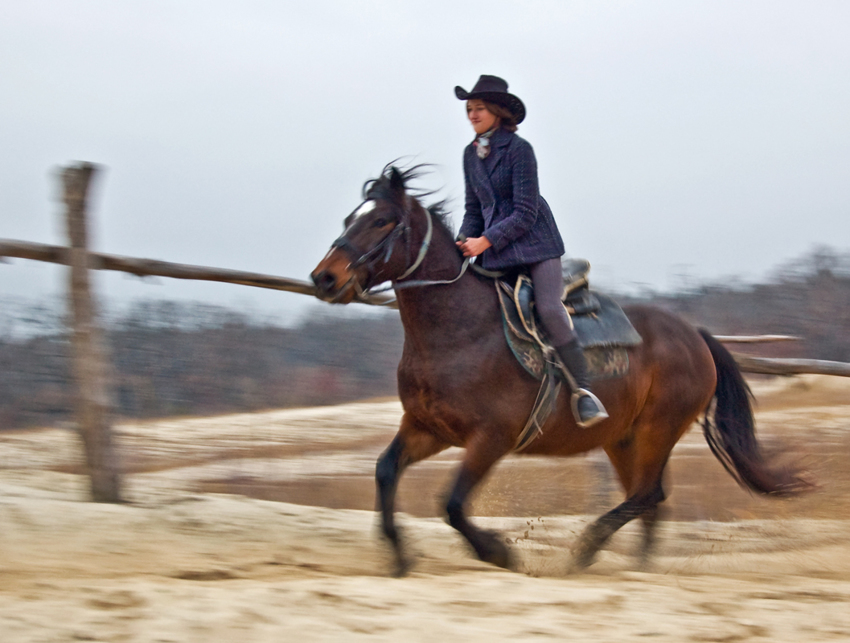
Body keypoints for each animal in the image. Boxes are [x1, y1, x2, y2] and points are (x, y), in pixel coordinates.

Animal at [312, 165, 808, 572]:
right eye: (349, 219)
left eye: (380, 220)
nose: (325, 278)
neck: (459, 332)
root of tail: (696, 336)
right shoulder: (427, 428)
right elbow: (385, 471)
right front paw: (399, 556)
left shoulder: (491, 438)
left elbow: (452, 503)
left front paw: (498, 552)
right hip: (622, 438)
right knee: (648, 500)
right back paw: (637, 567)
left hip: (658, 428)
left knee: (649, 494)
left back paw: (587, 549)